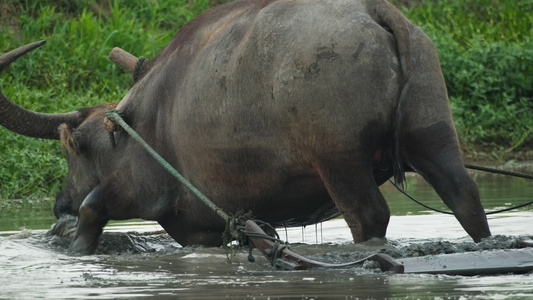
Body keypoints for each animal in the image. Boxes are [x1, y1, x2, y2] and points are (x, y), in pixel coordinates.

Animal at [0, 0, 490, 254]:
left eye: (72, 151)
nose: (59, 203)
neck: (135, 127)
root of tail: (376, 11)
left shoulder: (142, 188)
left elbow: (94, 209)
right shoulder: (202, 228)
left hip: (340, 161)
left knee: (369, 216)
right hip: (434, 135)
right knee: (465, 196)